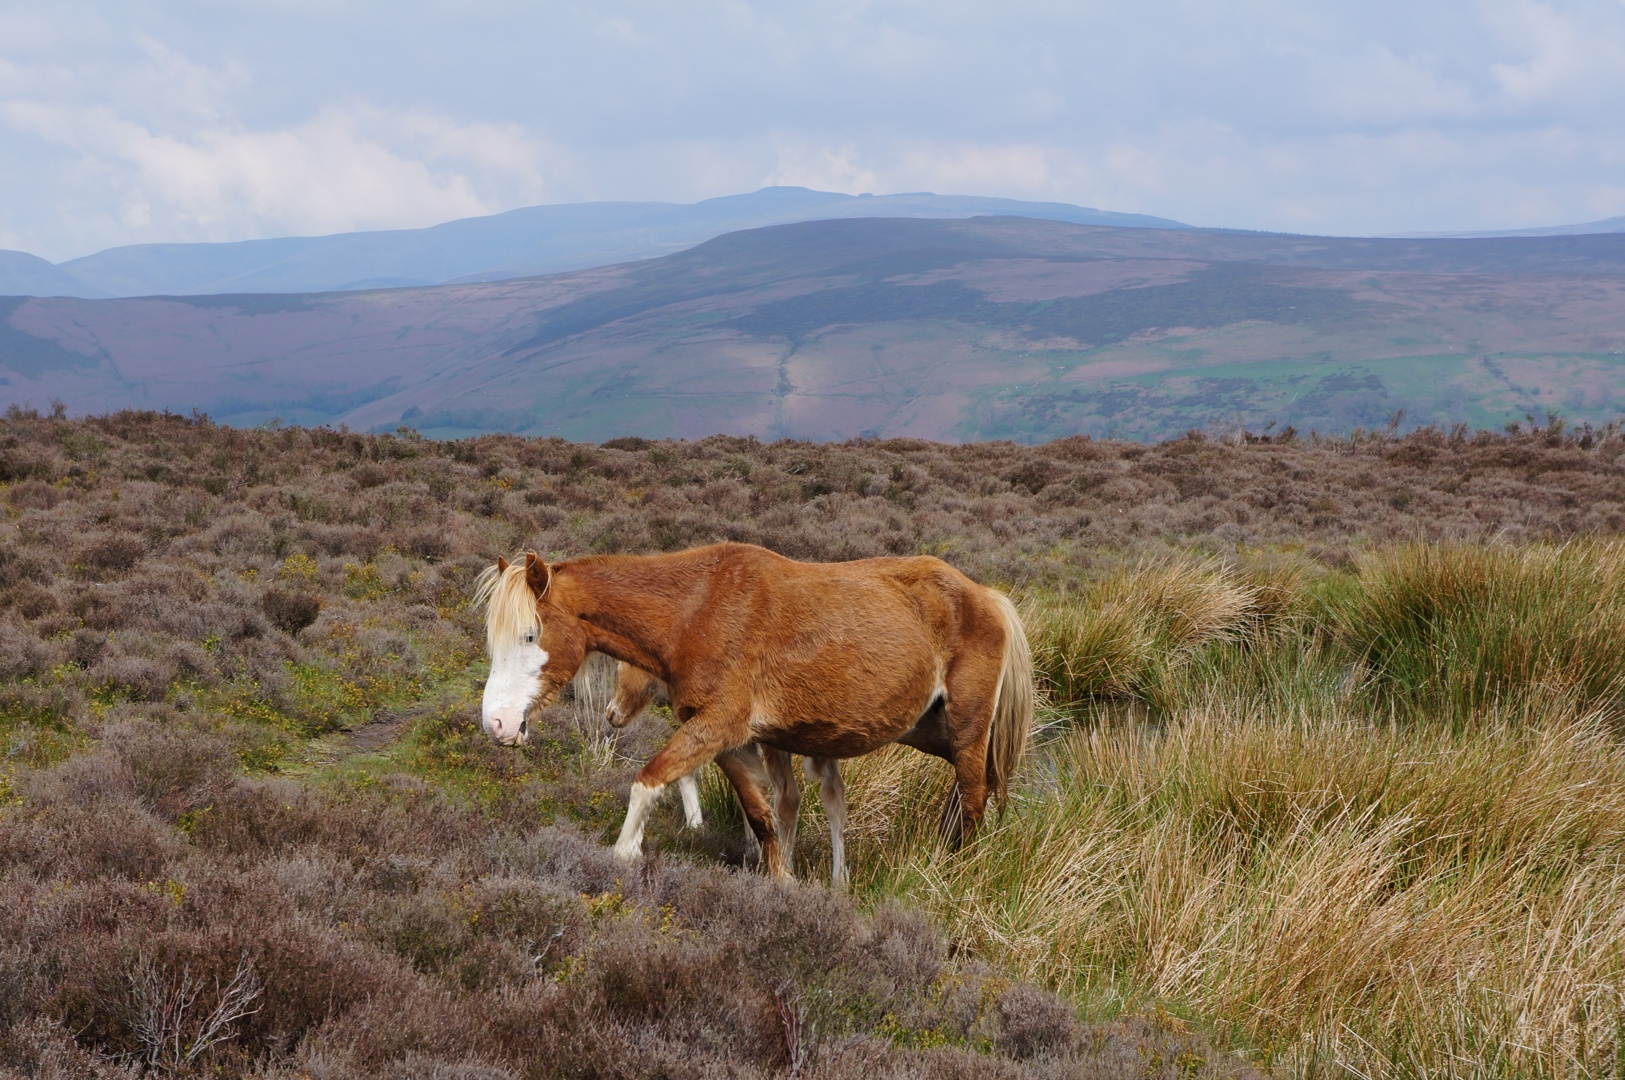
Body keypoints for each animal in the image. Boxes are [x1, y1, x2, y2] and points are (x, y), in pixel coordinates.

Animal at [474, 539, 1027, 876]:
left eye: (530, 635)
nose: (497, 724)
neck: (697, 611)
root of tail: (987, 596)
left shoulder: (718, 726)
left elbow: (648, 781)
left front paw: (623, 854)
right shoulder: (727, 740)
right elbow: (762, 817)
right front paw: (782, 885)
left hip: (967, 730)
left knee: (973, 803)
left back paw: (956, 873)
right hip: (931, 732)